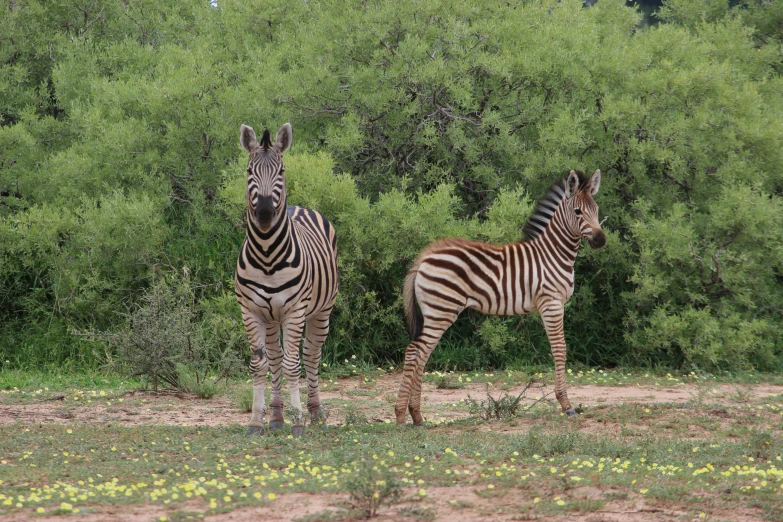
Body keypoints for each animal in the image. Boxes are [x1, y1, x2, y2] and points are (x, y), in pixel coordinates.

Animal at [236, 123, 340, 434]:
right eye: (249, 170)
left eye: (281, 171)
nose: (265, 213)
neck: (268, 254)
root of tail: (301, 207)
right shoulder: (250, 311)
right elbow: (260, 365)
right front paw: (256, 421)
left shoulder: (295, 311)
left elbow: (294, 364)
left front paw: (298, 422)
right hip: (272, 317)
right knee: (275, 357)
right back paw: (276, 416)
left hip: (321, 311)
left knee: (311, 354)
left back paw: (315, 413)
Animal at [398, 169, 608, 424]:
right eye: (578, 212)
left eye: (596, 210)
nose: (601, 240)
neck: (553, 254)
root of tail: (424, 258)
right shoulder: (552, 302)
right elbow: (560, 348)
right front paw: (566, 404)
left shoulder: (552, 304)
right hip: (441, 311)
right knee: (414, 352)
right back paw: (401, 416)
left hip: (436, 312)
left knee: (422, 354)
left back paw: (417, 416)